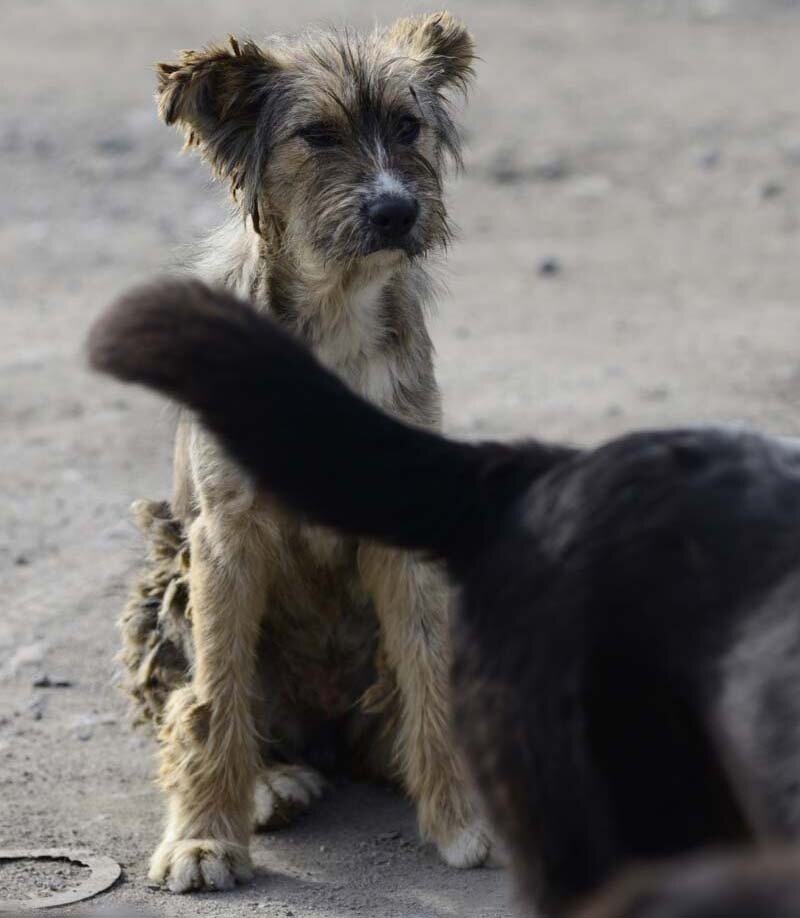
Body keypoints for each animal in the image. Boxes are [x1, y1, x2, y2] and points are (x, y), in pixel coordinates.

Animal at [122, 10, 490, 896]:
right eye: (316, 135)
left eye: (407, 126)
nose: (396, 211)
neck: (337, 311)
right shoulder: (226, 535)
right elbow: (216, 695)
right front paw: (204, 838)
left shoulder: (407, 533)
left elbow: (429, 675)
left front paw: (458, 817)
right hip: (165, 575)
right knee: (203, 706)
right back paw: (269, 782)